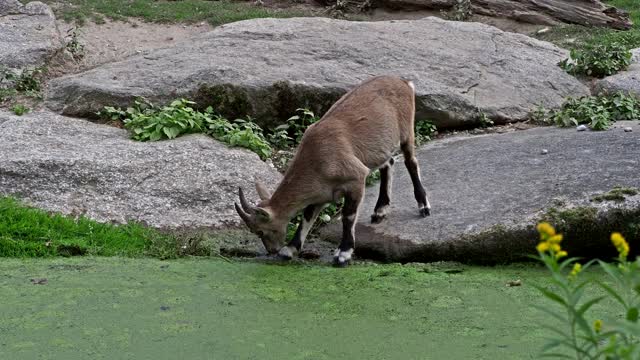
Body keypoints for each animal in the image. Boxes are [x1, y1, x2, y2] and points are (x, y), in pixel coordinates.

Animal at [235, 75, 430, 268]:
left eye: (260, 231)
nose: (272, 250)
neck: (317, 158)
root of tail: (404, 82)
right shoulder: (321, 192)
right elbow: (307, 216)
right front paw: (289, 250)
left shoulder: (356, 178)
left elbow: (348, 216)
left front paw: (343, 254)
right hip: (381, 145)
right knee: (388, 162)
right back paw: (379, 212)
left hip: (406, 130)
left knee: (410, 162)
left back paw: (423, 206)